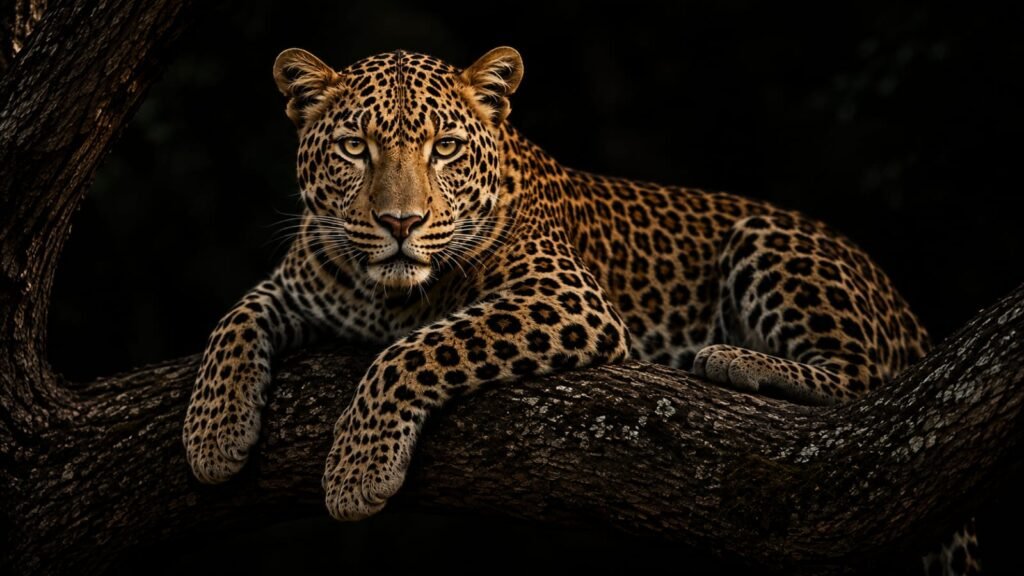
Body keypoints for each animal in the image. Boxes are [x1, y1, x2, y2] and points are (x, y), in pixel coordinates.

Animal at [181, 46, 975, 574]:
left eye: (444, 148)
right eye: (354, 147)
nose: (400, 222)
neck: (387, 292)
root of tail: (904, 306)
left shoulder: (566, 299)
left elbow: (411, 351)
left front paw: (357, 470)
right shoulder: (296, 283)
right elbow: (233, 321)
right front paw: (213, 436)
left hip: (769, 241)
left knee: (869, 384)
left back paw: (732, 359)